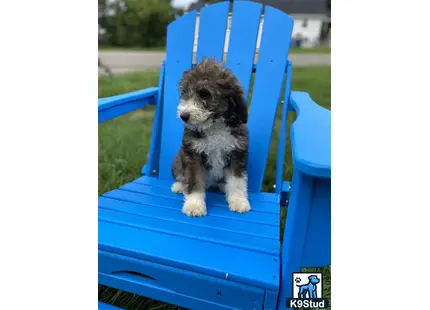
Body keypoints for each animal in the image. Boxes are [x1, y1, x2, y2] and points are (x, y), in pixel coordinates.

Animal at [171, 58, 252, 218]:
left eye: (204, 94)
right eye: (184, 92)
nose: (184, 116)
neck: (214, 127)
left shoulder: (237, 153)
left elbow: (237, 181)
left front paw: (238, 201)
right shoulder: (193, 155)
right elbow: (194, 180)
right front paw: (194, 205)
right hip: (177, 159)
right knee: (182, 175)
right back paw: (179, 186)